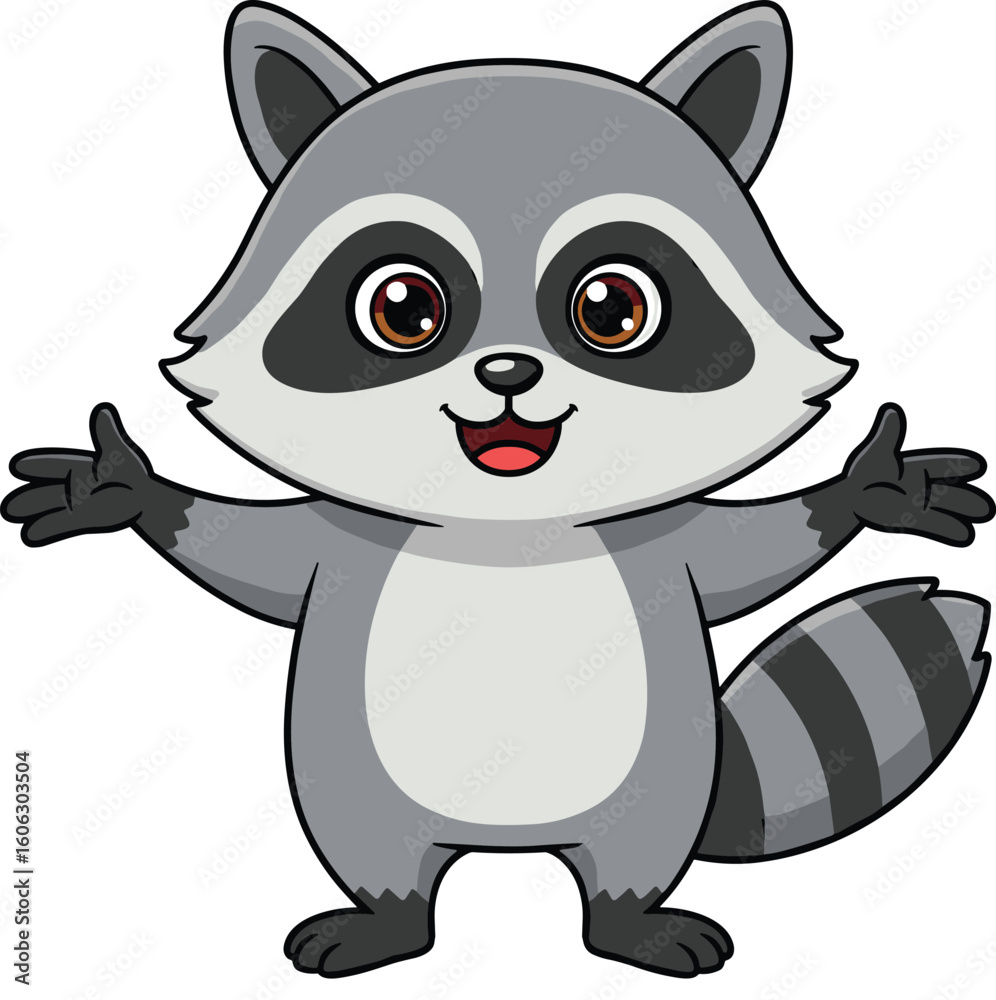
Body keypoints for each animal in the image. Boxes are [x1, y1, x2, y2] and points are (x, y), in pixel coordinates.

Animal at [4, 0, 993, 980]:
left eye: (612, 308)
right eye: (403, 307)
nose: (508, 371)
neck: (509, 529)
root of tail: (509, 846)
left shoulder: (659, 541)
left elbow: (756, 552)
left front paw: (869, 490)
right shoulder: (344, 540)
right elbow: (247, 554)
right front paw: (124, 489)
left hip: (658, 786)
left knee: (626, 863)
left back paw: (629, 924)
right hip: (360, 788)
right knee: (385, 859)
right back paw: (388, 922)